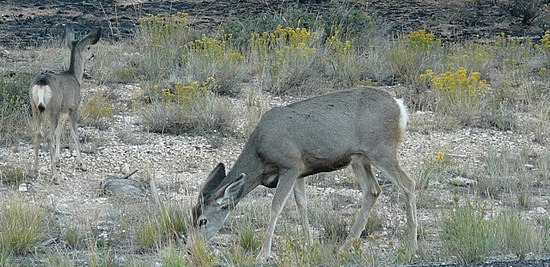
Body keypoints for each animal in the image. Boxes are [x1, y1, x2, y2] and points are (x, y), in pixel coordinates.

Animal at [29, 26, 102, 183]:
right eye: (88, 47)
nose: (93, 55)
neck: (75, 77)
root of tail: (41, 83)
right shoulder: (73, 108)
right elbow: (74, 133)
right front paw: (82, 164)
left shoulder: (64, 110)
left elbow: (59, 131)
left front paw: (57, 159)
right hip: (53, 108)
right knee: (49, 135)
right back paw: (55, 176)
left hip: (35, 107)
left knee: (38, 133)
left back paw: (35, 170)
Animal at [193, 87, 418, 262]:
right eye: (191, 216)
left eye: (203, 220)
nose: (192, 247)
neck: (260, 154)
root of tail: (399, 106)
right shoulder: (301, 172)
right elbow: (302, 205)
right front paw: (309, 244)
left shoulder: (290, 165)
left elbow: (276, 207)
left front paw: (263, 255)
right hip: (359, 158)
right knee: (372, 190)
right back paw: (345, 247)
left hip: (382, 150)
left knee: (408, 184)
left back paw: (410, 250)